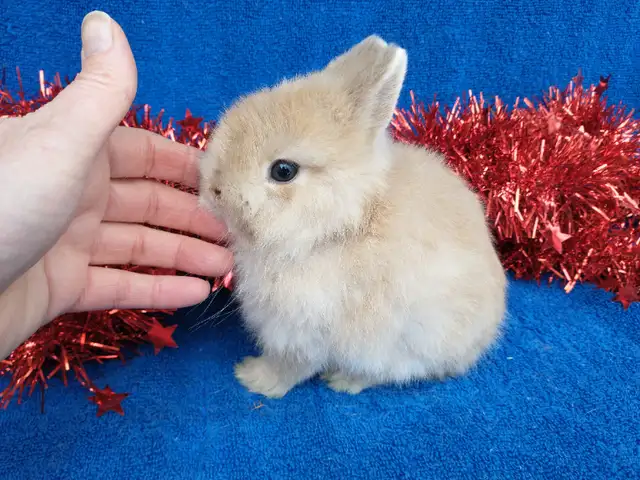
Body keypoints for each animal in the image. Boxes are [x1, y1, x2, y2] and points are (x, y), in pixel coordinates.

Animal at [198, 35, 507, 398]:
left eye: (283, 171)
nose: (215, 190)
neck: (340, 225)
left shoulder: (301, 331)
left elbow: (291, 366)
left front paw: (254, 378)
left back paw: (344, 380)